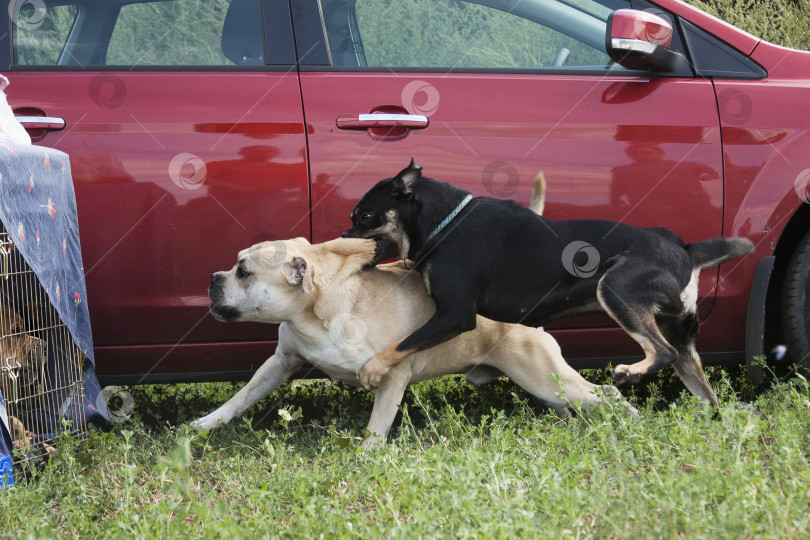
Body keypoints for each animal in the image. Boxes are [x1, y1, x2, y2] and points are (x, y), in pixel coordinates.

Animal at [193, 234, 636, 450]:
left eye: (244, 272)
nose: (213, 277)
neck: (314, 312)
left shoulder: (391, 375)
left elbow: (377, 423)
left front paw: (365, 454)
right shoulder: (280, 362)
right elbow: (241, 398)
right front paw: (206, 424)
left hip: (544, 378)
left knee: (606, 393)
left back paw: (629, 418)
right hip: (549, 387)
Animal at [340, 158, 752, 402]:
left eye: (365, 216)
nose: (343, 236)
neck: (445, 222)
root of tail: (686, 250)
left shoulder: (455, 315)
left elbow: (402, 343)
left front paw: (373, 368)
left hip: (615, 291)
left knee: (662, 352)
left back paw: (630, 372)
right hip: (682, 336)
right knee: (705, 391)